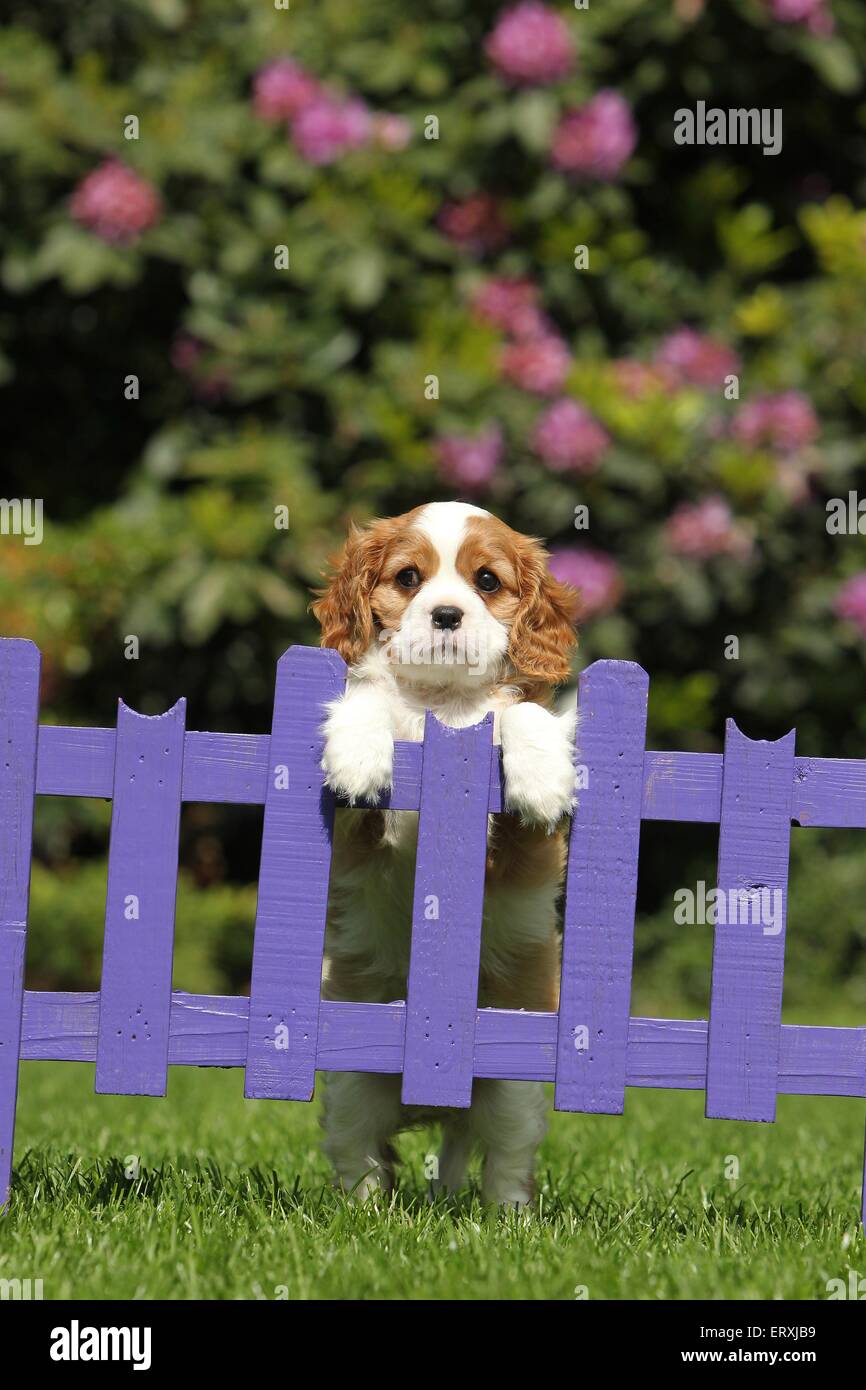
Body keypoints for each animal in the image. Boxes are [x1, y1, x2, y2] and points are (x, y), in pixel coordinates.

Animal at [308, 503, 578, 1206]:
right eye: (408, 578)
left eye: (487, 581)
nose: (448, 615)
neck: (440, 706)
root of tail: (433, 1098)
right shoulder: (356, 843)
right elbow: (367, 702)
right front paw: (358, 755)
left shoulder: (521, 850)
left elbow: (521, 717)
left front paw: (542, 776)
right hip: (351, 1083)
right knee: (361, 1159)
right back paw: (364, 1214)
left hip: (511, 1085)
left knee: (506, 1163)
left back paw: (508, 1217)